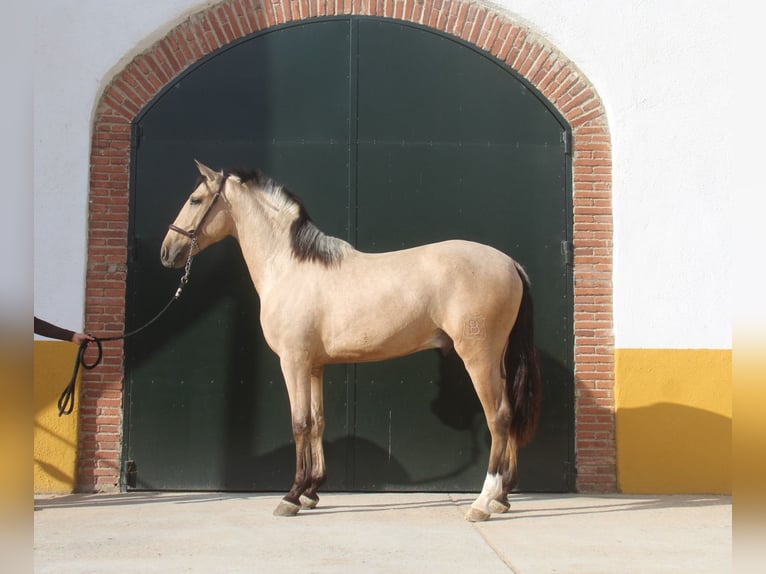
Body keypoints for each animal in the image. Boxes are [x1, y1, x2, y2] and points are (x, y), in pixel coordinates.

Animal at [160, 160, 544, 524]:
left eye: (195, 200)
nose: (167, 252)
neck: (289, 267)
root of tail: (510, 263)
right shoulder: (314, 365)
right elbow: (317, 421)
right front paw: (311, 492)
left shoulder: (293, 361)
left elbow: (299, 423)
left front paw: (291, 496)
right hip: (497, 361)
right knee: (509, 414)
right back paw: (502, 498)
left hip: (478, 357)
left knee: (498, 418)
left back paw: (482, 503)